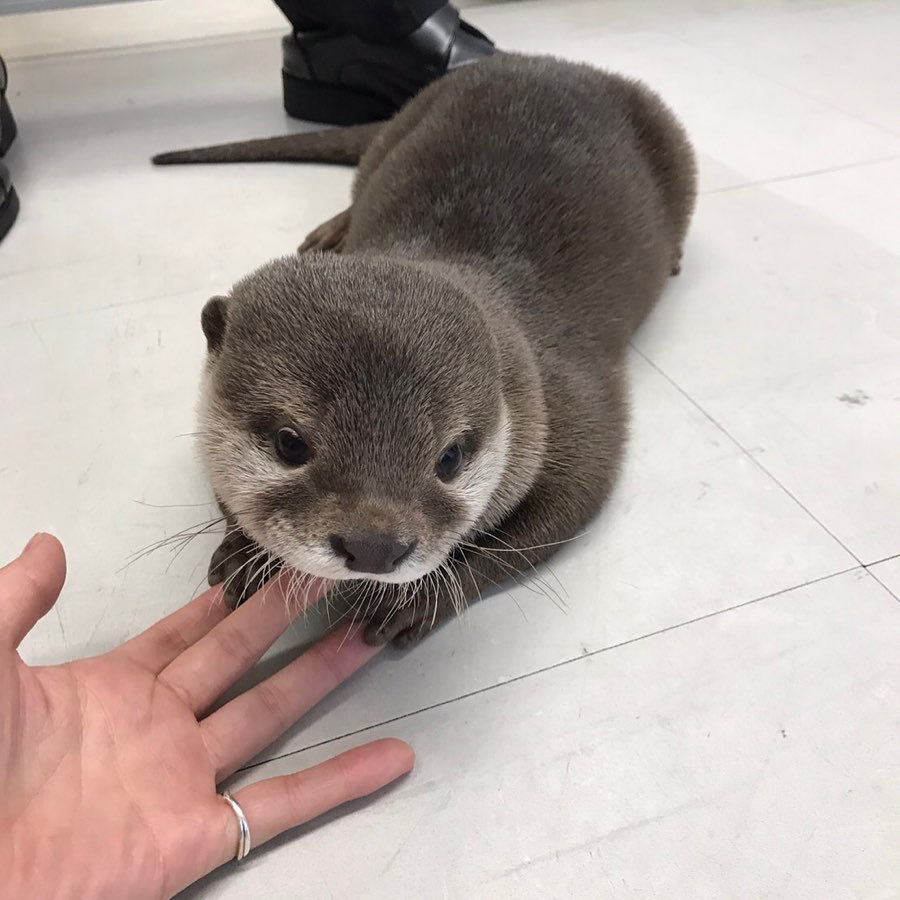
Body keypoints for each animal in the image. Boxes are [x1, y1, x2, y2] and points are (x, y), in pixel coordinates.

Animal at [153, 53, 697, 648]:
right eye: (289, 443)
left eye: (450, 457)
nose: (374, 547)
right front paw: (243, 553)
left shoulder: (566, 402)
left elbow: (561, 507)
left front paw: (418, 599)